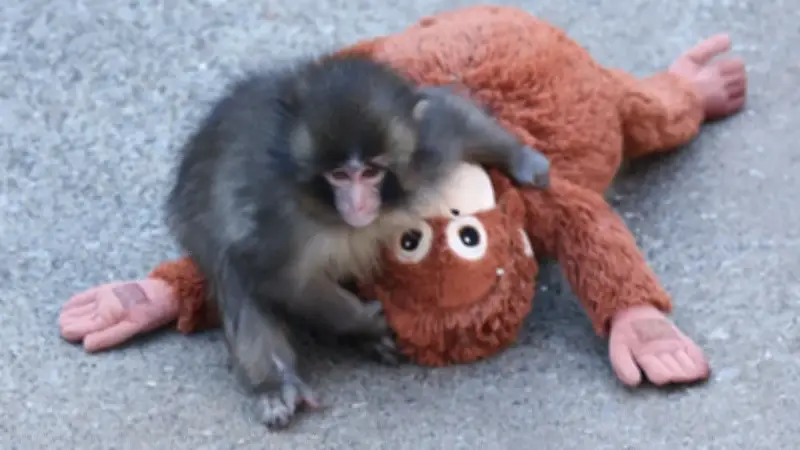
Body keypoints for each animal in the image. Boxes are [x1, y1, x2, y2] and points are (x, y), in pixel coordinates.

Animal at [164, 53, 551, 430]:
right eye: (338, 175)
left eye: (370, 172)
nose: (358, 204)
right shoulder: (273, 216)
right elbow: (279, 278)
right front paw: (364, 321)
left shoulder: (429, 148)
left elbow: (450, 114)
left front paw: (523, 158)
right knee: (233, 273)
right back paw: (277, 384)